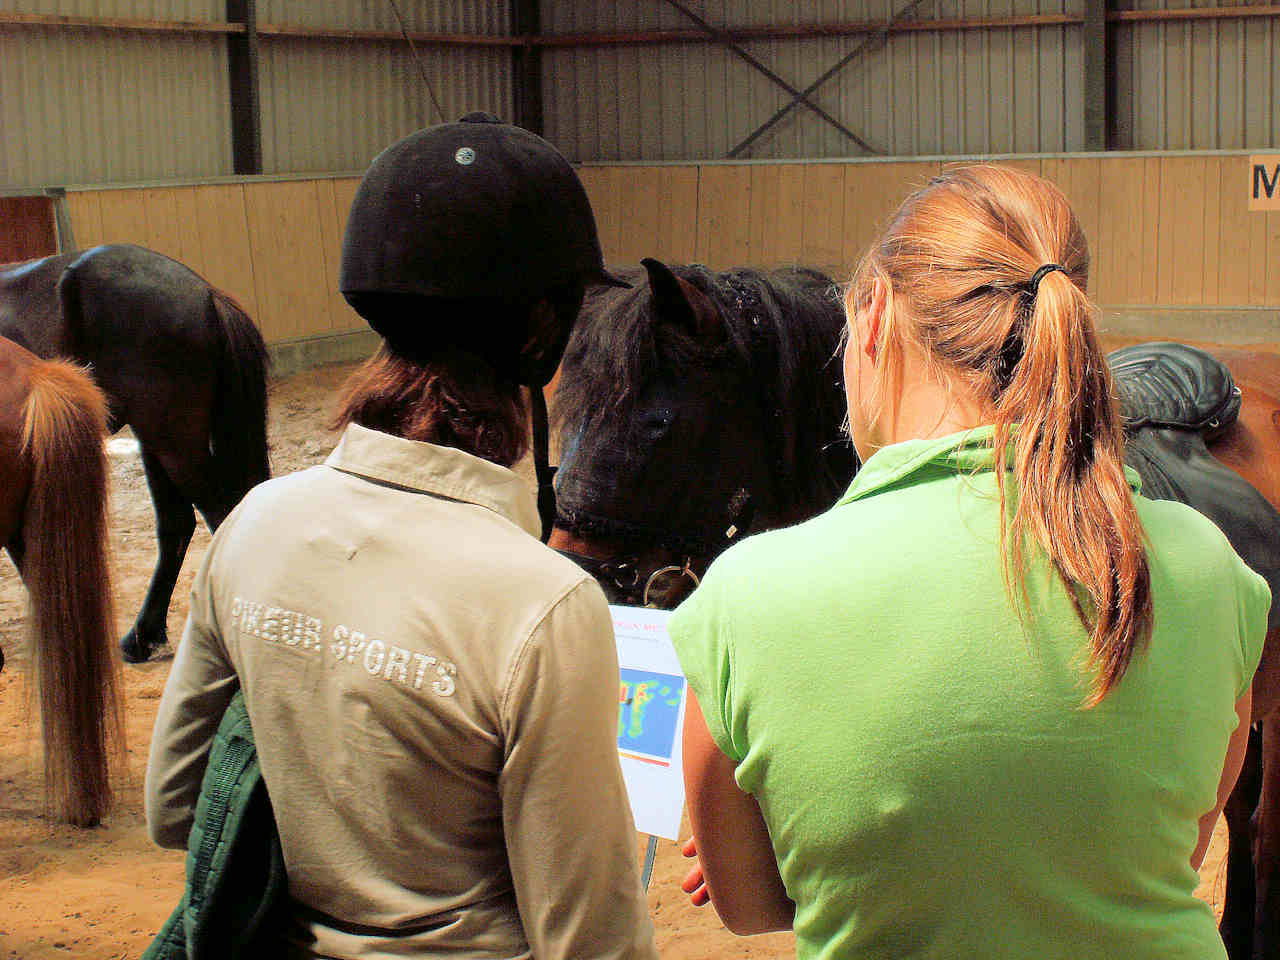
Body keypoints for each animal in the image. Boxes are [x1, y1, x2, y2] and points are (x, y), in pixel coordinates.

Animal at [0, 244, 270, 665]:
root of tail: (205, 294)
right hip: (156, 441)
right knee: (177, 525)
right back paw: (143, 636)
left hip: (172, 443)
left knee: (221, 514)